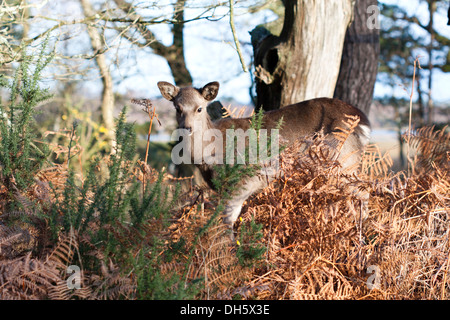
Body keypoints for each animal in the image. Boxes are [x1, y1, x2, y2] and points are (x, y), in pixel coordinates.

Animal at [157, 81, 370, 229]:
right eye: (177, 108)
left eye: (199, 108)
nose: (186, 128)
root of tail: (363, 121)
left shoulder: (241, 180)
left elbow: (228, 219)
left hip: (343, 161)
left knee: (363, 193)